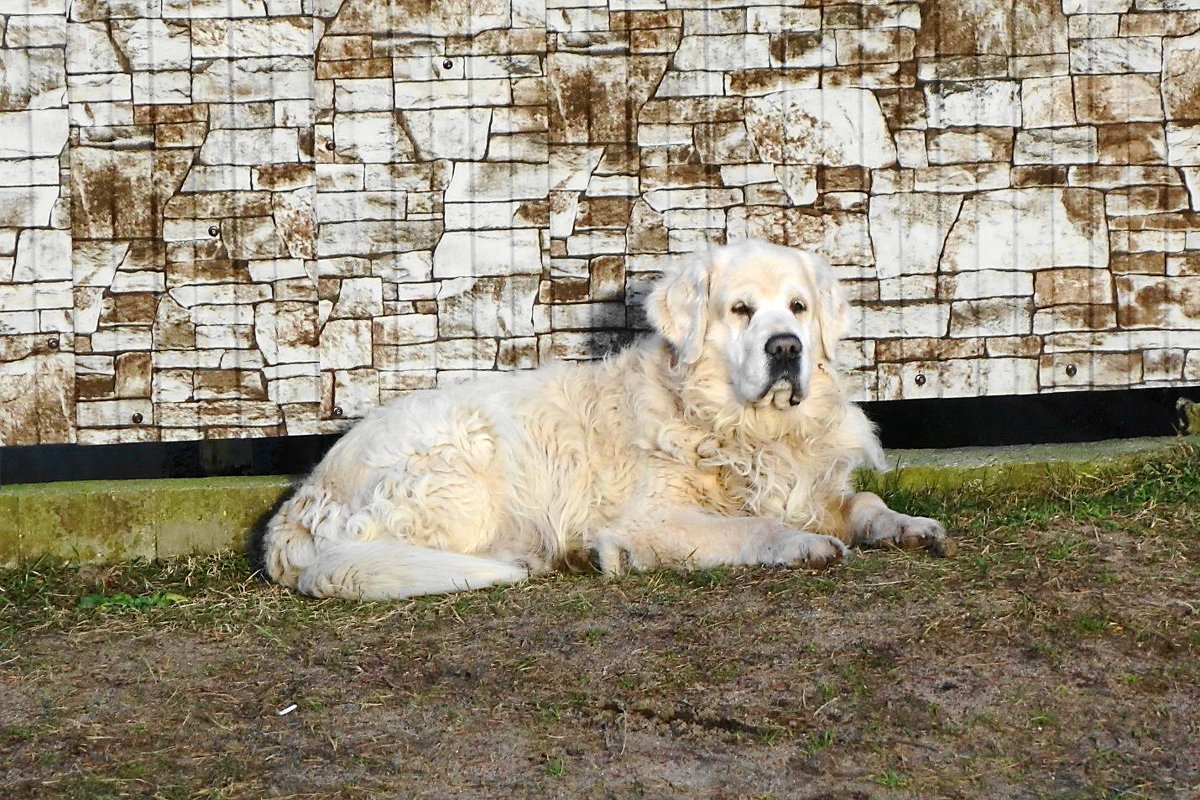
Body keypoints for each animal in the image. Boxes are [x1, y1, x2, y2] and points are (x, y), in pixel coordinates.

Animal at [260, 239, 945, 599]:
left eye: (798, 307)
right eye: (741, 310)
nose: (786, 348)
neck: (742, 427)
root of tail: (300, 502)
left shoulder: (809, 485)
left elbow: (862, 504)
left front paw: (908, 526)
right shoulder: (652, 519)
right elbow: (752, 527)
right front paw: (804, 545)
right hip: (460, 464)